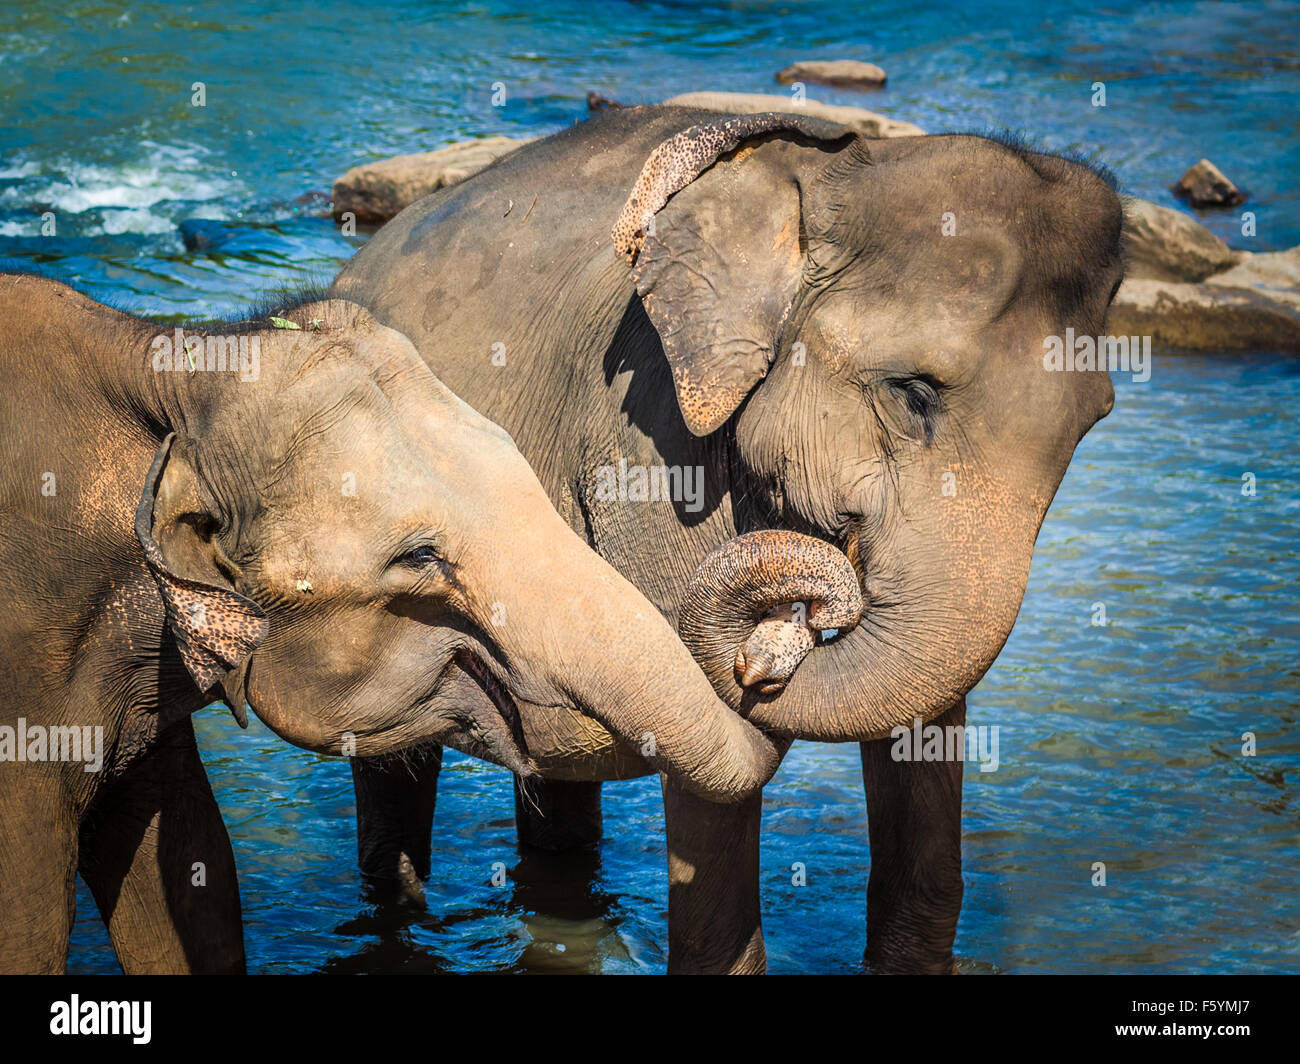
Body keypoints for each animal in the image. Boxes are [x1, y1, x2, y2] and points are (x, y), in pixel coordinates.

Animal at [329, 104, 1125, 973]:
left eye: (1096, 419)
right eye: (913, 393)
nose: (762, 659)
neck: (833, 167)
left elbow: (926, 739)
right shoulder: (646, 431)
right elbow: (706, 749)